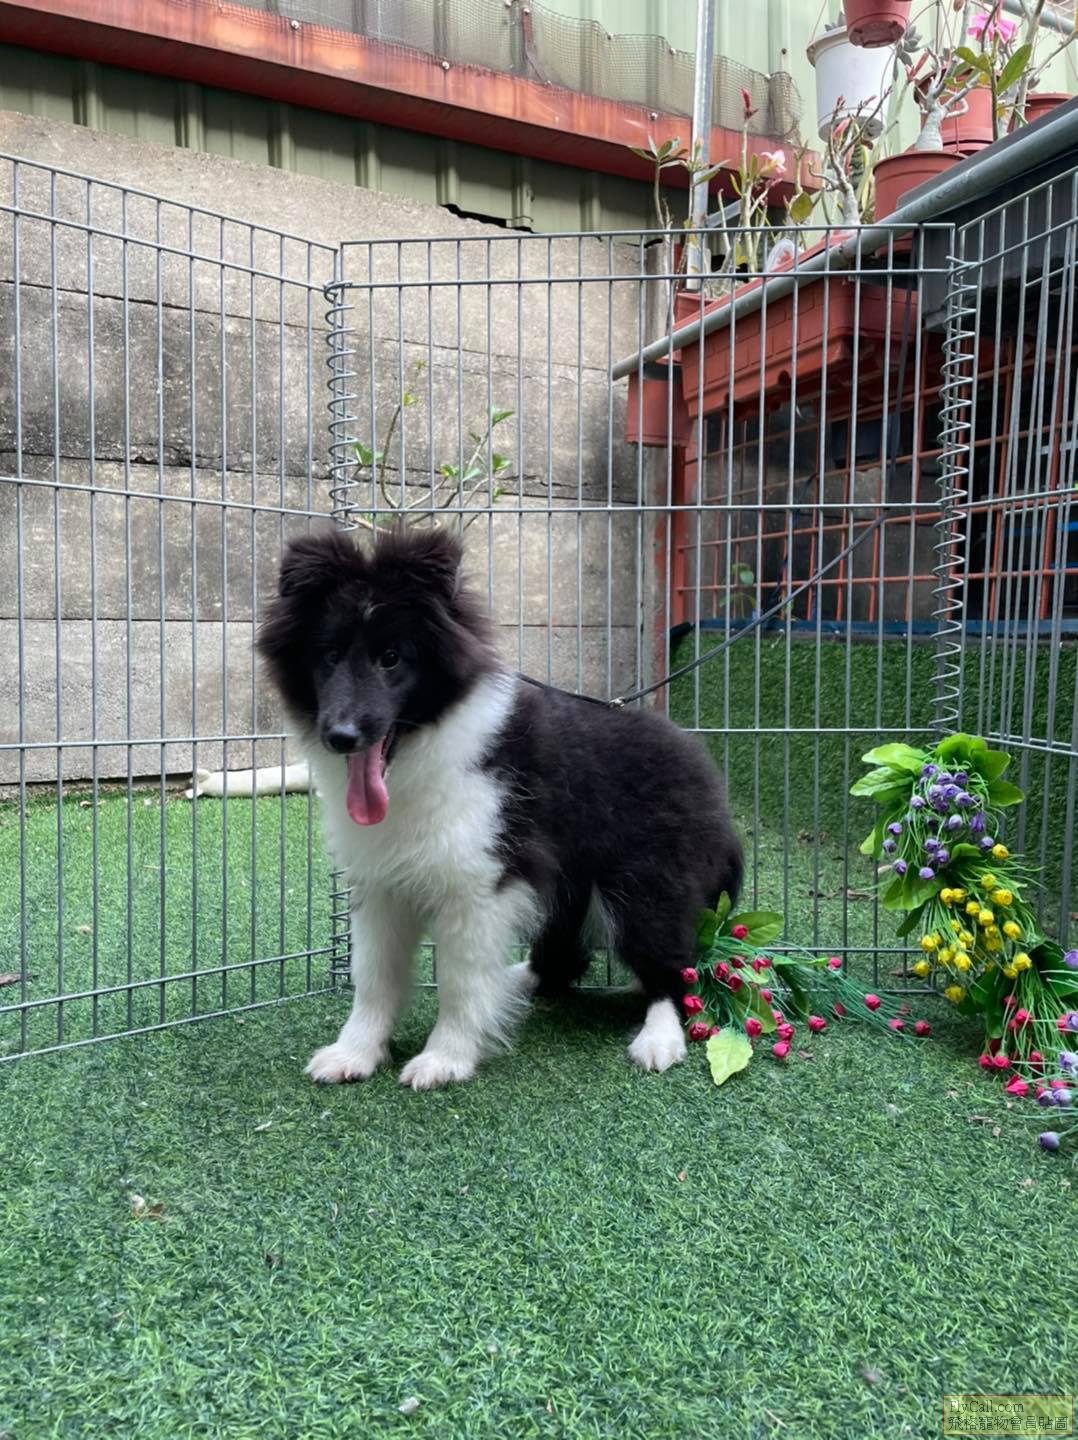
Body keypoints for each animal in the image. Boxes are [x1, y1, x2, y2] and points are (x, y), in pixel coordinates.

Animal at [257, 524, 742, 1089]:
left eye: (392, 657)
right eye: (329, 655)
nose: (340, 736)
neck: (421, 753)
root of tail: (701, 765)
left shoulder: (479, 883)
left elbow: (460, 979)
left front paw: (444, 1059)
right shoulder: (381, 883)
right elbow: (373, 976)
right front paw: (354, 1053)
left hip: (645, 880)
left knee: (670, 964)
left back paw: (659, 1038)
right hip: (575, 877)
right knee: (563, 951)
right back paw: (517, 982)